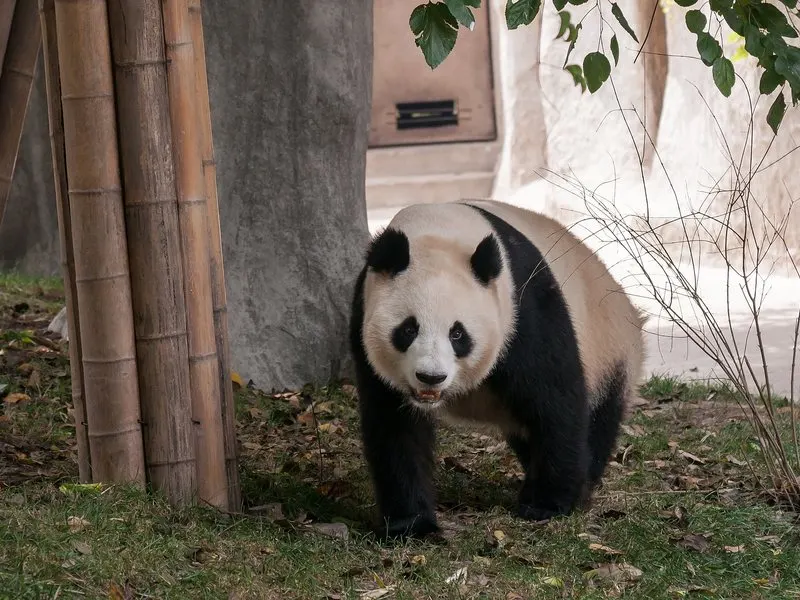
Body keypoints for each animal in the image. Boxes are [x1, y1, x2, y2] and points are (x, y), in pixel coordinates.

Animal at [349, 199, 647, 539]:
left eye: (458, 334)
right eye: (408, 329)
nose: (431, 378)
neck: (438, 232)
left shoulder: (523, 308)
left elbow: (554, 403)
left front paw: (547, 505)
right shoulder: (364, 317)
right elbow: (395, 428)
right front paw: (411, 525)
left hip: (610, 351)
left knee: (597, 418)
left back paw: (580, 485)